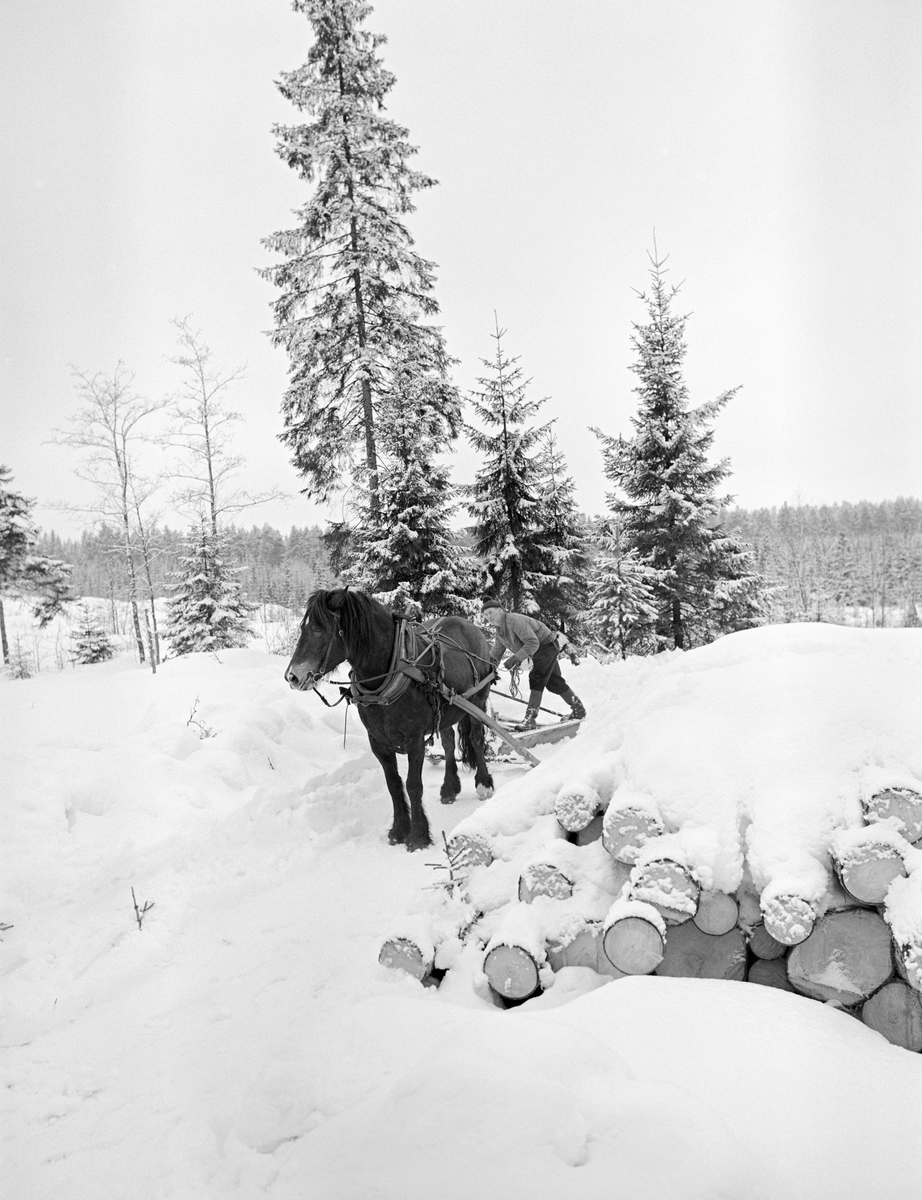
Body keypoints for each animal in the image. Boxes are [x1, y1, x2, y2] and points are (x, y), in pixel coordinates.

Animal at [283, 590, 494, 854]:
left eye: (320, 629)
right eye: (304, 627)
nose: (293, 676)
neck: (389, 673)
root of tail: (471, 626)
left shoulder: (415, 740)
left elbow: (413, 785)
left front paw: (418, 836)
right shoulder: (378, 741)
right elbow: (393, 784)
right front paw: (399, 830)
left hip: (478, 701)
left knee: (476, 739)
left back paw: (484, 784)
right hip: (447, 711)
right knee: (448, 743)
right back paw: (449, 788)